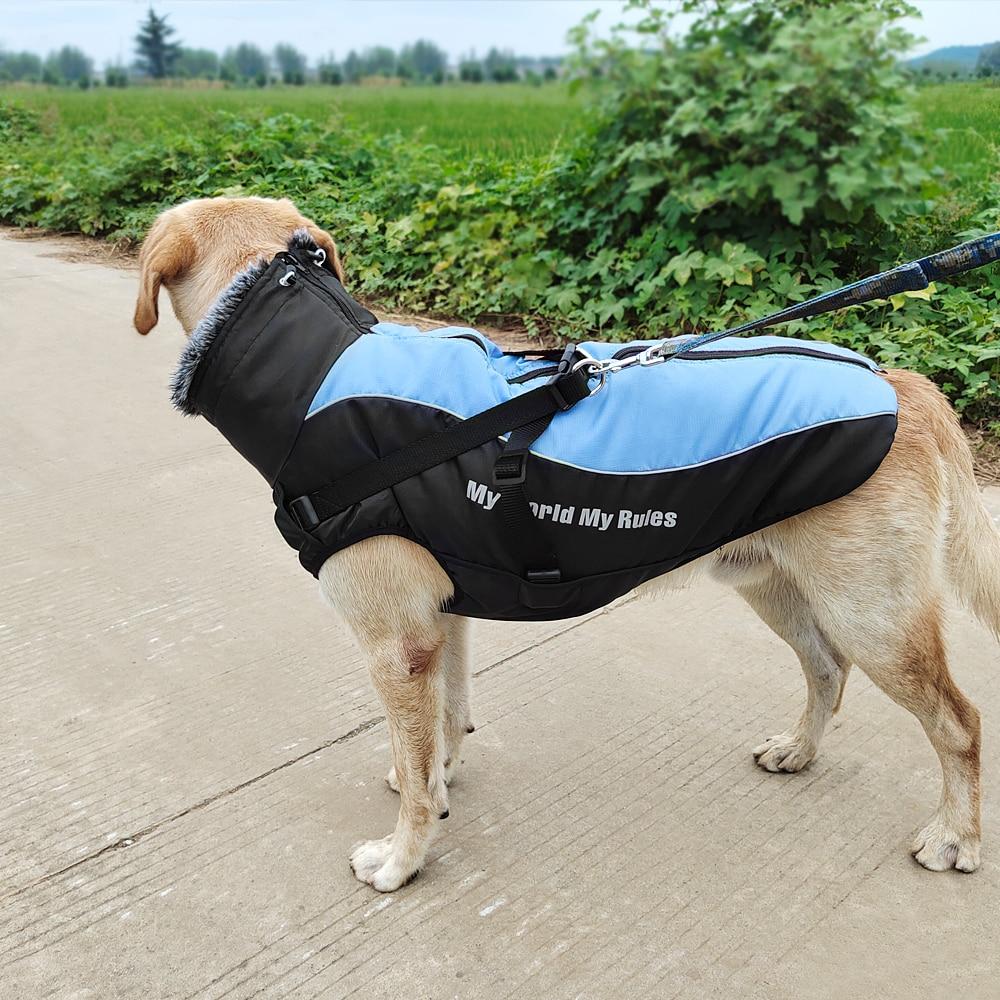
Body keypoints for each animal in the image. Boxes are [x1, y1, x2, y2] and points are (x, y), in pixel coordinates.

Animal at [137, 195, 996, 892]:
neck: (316, 372)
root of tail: (901, 385)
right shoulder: (443, 619)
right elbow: (443, 724)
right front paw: (440, 782)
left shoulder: (394, 643)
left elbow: (415, 766)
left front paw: (402, 858)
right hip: (773, 583)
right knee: (826, 668)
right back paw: (799, 750)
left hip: (875, 616)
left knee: (958, 722)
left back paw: (955, 836)